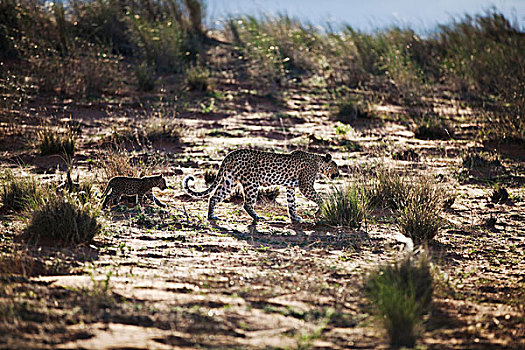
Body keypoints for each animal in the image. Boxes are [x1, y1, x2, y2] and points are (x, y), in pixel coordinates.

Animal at [182, 149, 338, 223]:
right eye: (335, 166)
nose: (338, 174)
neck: (318, 162)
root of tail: (231, 154)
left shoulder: (290, 188)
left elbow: (292, 204)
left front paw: (294, 218)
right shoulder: (306, 186)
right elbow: (320, 199)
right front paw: (318, 212)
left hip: (229, 181)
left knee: (214, 197)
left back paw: (211, 216)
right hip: (252, 183)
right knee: (247, 204)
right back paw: (257, 218)